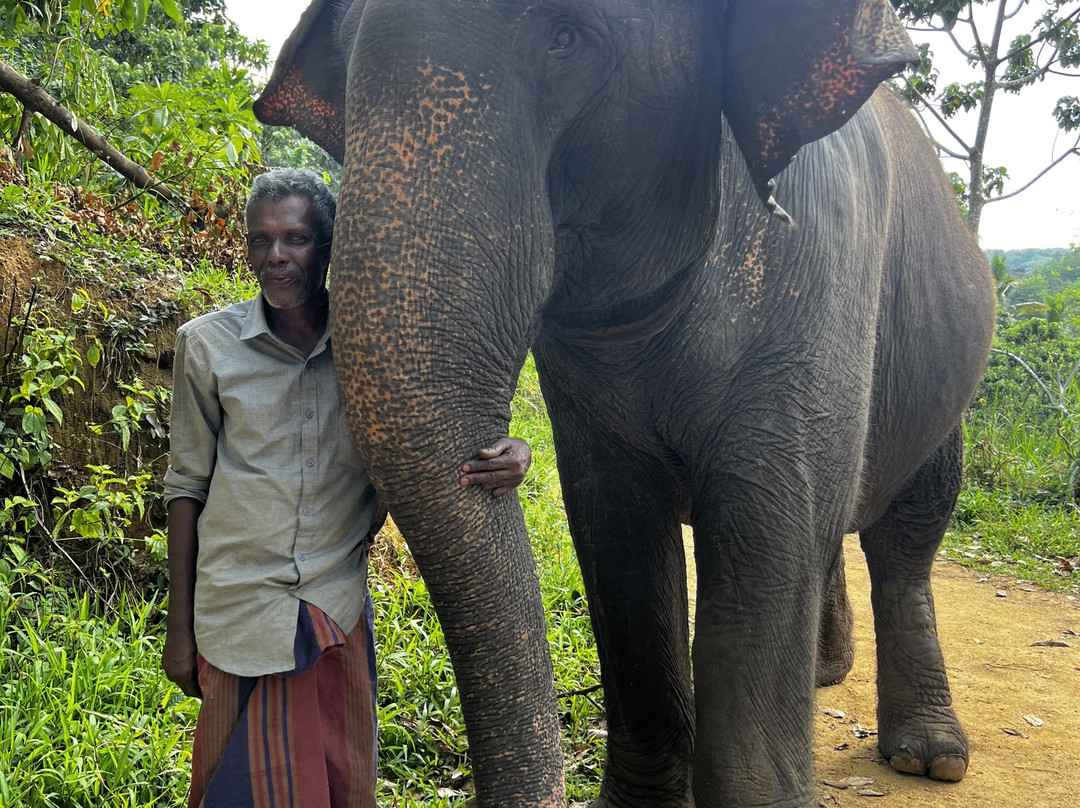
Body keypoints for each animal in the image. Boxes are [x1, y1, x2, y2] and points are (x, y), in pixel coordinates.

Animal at [253, 1, 995, 806]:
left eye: (567, 39)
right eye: (347, 68)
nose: (493, 460)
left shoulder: (818, 267)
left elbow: (769, 522)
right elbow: (617, 529)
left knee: (908, 529)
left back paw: (931, 757)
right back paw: (830, 674)